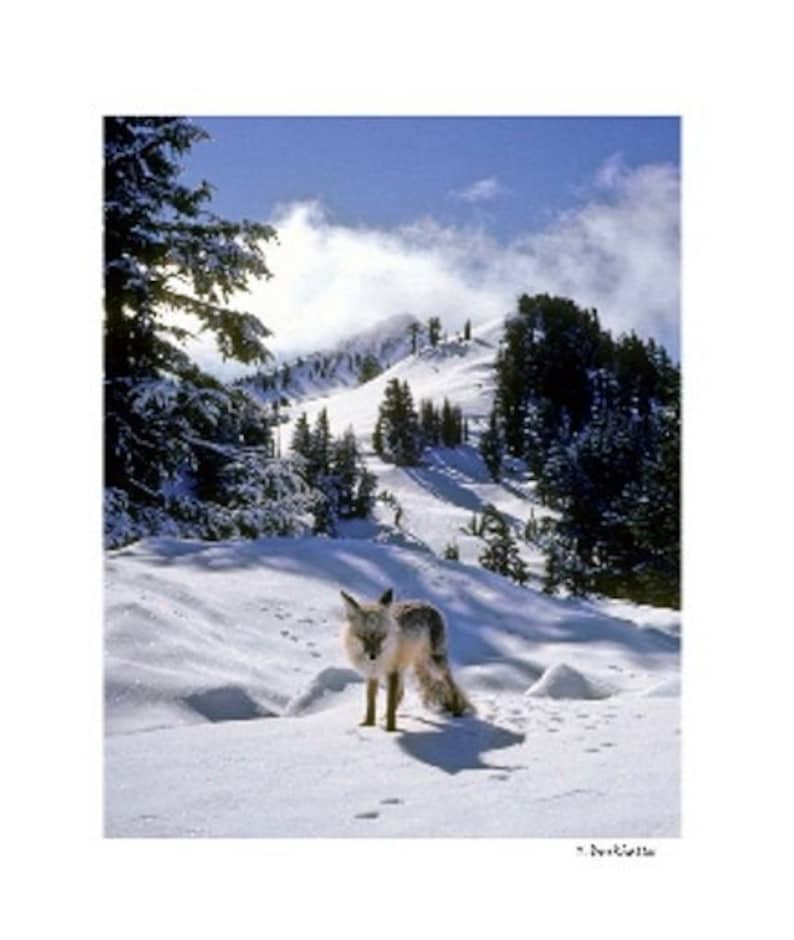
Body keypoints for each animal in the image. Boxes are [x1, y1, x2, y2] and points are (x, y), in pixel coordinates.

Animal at [340, 587, 472, 732]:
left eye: (381, 636)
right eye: (363, 637)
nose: (372, 656)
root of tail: (426, 603)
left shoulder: (392, 672)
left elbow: (389, 703)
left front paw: (390, 730)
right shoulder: (372, 674)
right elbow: (371, 703)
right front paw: (369, 725)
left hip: (434, 664)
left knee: (451, 685)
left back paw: (456, 712)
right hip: (407, 669)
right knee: (402, 693)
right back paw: (383, 718)